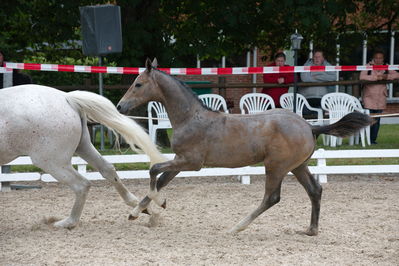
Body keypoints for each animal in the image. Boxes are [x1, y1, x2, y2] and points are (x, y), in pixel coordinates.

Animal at [0, 85, 166, 229]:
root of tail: (66, 98)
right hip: (83, 147)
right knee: (107, 169)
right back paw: (143, 209)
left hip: (52, 162)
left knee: (82, 184)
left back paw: (67, 222)